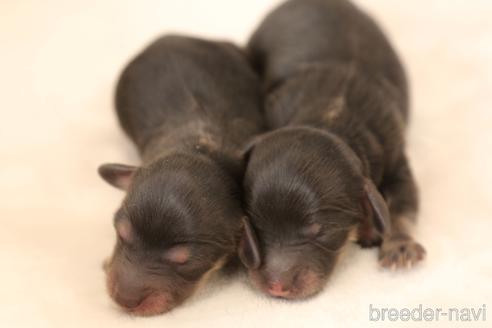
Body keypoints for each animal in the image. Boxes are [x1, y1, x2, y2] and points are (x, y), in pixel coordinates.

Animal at [240, 0, 424, 300]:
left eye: (317, 231)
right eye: (255, 225)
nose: (277, 287)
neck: (330, 119)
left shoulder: (395, 155)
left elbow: (402, 204)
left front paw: (399, 245)